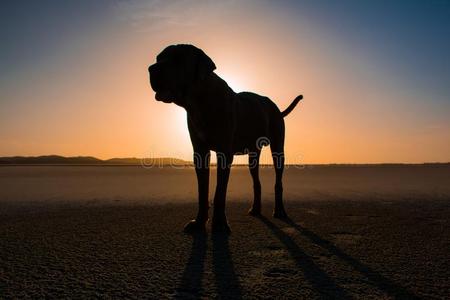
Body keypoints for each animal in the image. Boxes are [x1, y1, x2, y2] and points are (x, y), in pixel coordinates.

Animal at [149, 43, 302, 233]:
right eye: (158, 58)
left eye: (178, 59)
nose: (151, 68)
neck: (200, 102)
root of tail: (276, 108)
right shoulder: (200, 152)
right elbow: (202, 190)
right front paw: (199, 222)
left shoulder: (224, 153)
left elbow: (219, 192)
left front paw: (220, 224)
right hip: (253, 154)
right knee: (256, 181)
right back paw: (256, 209)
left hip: (278, 148)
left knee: (278, 181)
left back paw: (280, 210)